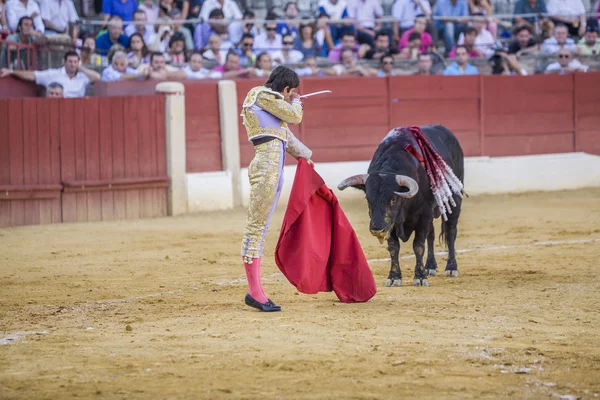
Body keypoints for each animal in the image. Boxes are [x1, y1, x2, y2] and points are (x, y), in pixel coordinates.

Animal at [338, 125, 464, 288]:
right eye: (368, 199)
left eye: (392, 199)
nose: (376, 228)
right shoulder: (392, 222)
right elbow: (393, 247)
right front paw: (394, 277)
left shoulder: (424, 214)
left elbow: (418, 245)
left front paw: (420, 277)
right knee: (431, 235)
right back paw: (430, 266)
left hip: (455, 198)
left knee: (451, 231)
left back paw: (451, 267)